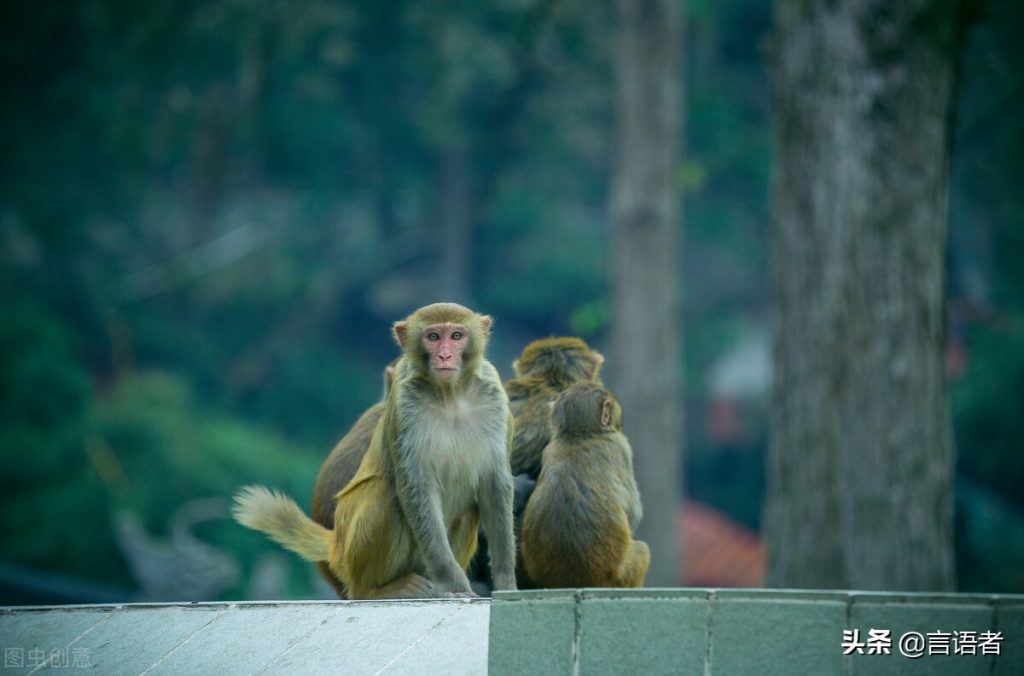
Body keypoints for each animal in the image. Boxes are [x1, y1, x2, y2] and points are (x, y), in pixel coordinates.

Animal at [520, 383, 647, 589]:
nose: (619, 424)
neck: (579, 436)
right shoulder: (621, 447)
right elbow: (633, 513)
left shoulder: (549, 449)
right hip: (622, 575)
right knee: (643, 550)